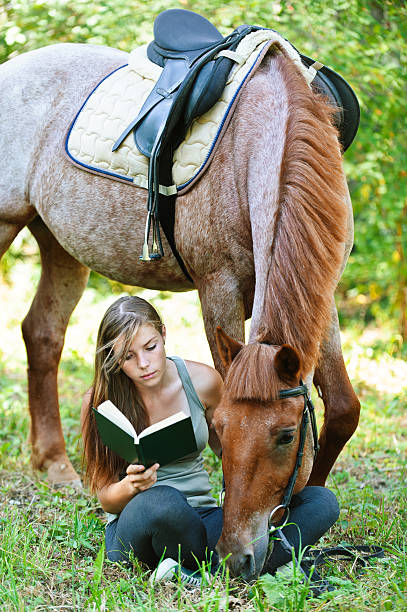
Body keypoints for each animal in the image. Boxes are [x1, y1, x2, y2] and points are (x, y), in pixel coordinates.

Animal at [0, 38, 360, 572]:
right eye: (222, 427)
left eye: (285, 436)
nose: (235, 556)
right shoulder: (219, 288)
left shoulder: (324, 294)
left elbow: (341, 409)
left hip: (59, 245)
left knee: (42, 334)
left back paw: (55, 464)